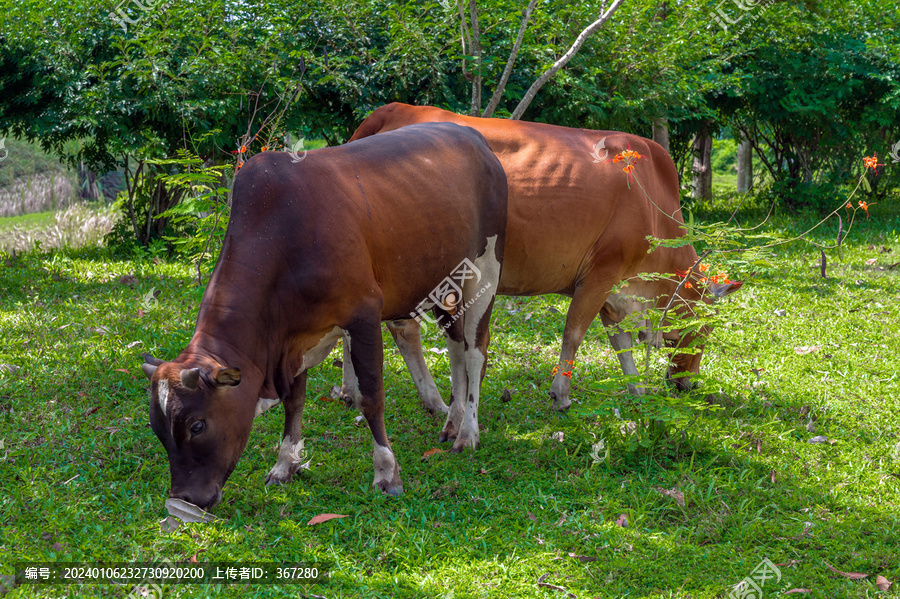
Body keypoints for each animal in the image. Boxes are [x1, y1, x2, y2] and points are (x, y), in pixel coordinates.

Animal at [139, 123, 506, 510]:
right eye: (157, 429)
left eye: (197, 425)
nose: (185, 499)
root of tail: (470, 133)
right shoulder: (293, 337)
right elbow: (294, 402)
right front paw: (284, 465)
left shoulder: (363, 313)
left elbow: (371, 397)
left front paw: (387, 472)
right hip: (444, 281)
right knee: (455, 346)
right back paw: (452, 421)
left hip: (486, 268)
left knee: (475, 351)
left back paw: (468, 432)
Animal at [344, 104, 740, 418]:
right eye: (705, 330)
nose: (687, 384)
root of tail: (394, 109)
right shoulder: (601, 274)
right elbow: (574, 334)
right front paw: (561, 395)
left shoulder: (613, 291)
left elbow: (621, 343)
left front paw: (637, 392)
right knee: (404, 331)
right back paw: (434, 400)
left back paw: (351, 392)